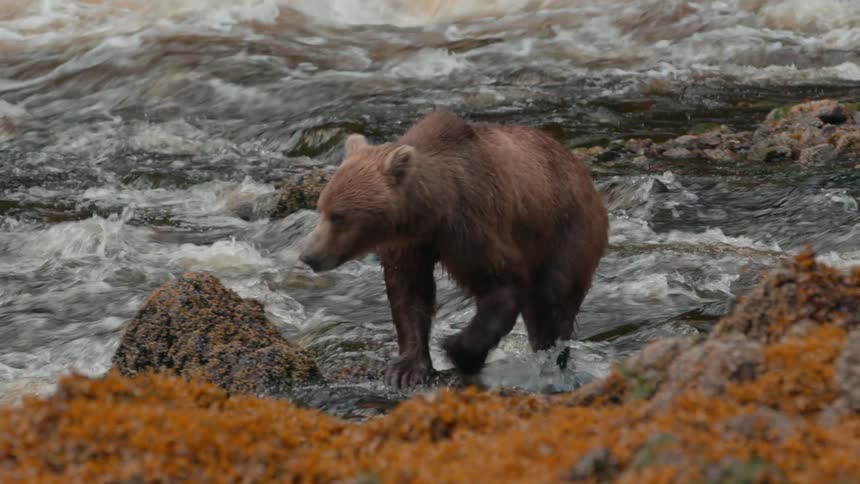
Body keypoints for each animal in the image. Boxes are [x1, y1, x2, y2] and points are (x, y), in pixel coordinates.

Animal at [299, 110, 608, 389]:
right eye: (321, 208)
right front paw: (406, 369)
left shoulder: (473, 225)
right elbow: (409, 295)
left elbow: (504, 284)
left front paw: (456, 350)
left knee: (554, 300)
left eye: (339, 216)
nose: (308, 255)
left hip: (567, 233)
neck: (432, 211)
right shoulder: (411, 245)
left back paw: (551, 361)